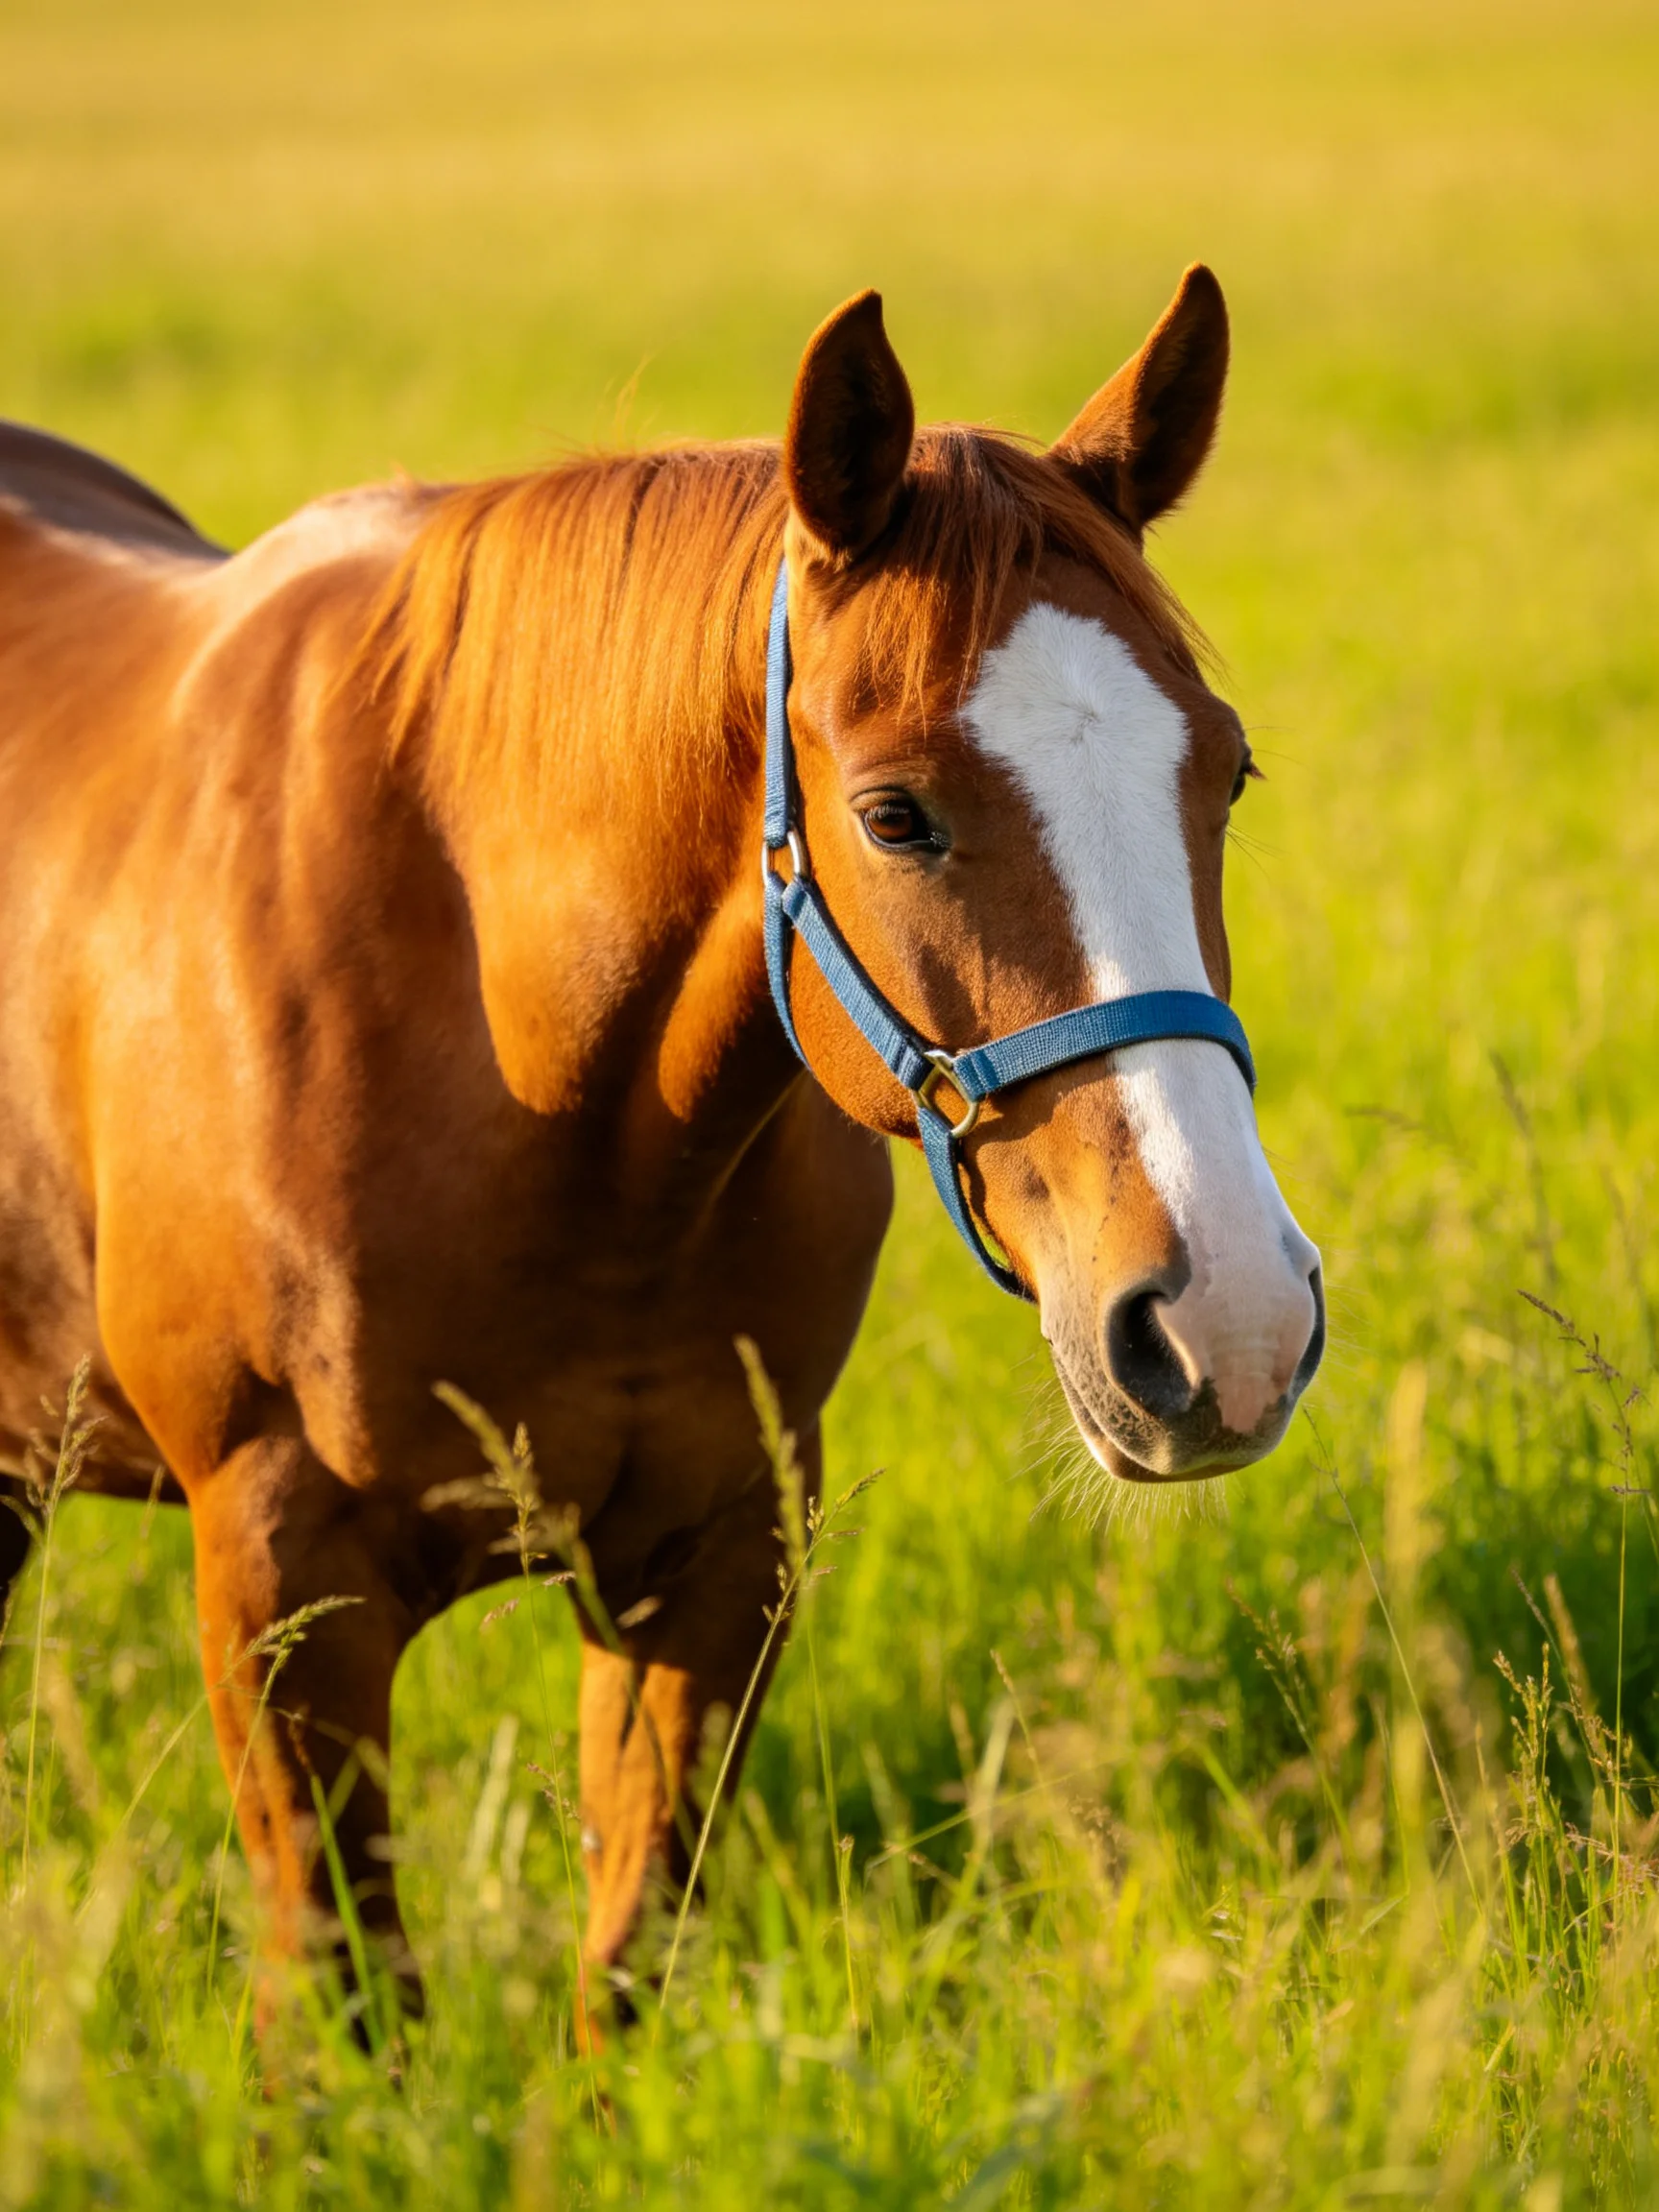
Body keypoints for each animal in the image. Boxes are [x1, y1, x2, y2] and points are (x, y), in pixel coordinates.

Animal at [0, 265, 1323, 2029]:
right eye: (894, 813)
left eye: (1226, 771)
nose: (1228, 1325)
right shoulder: (280, 1583)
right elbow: (350, 2004)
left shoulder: (717, 1554)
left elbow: (629, 1960)